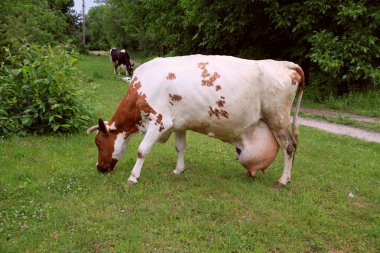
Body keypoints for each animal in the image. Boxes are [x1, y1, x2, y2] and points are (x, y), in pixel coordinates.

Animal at [86, 54, 302, 188]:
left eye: (98, 143)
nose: (99, 168)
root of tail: (284, 64)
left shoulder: (159, 121)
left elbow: (142, 150)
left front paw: (132, 177)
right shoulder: (179, 123)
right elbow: (180, 147)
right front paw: (178, 170)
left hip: (278, 118)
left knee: (289, 146)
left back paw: (283, 180)